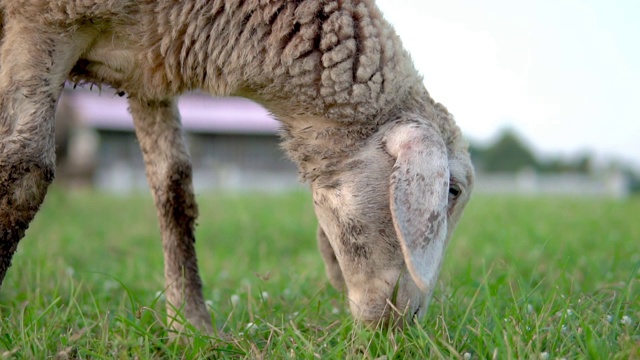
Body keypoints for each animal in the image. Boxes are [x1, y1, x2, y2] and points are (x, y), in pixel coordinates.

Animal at [0, 0, 472, 332]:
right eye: (451, 191)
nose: (405, 325)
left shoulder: (147, 65)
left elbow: (174, 189)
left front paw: (190, 328)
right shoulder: (41, 22)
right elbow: (25, 172)